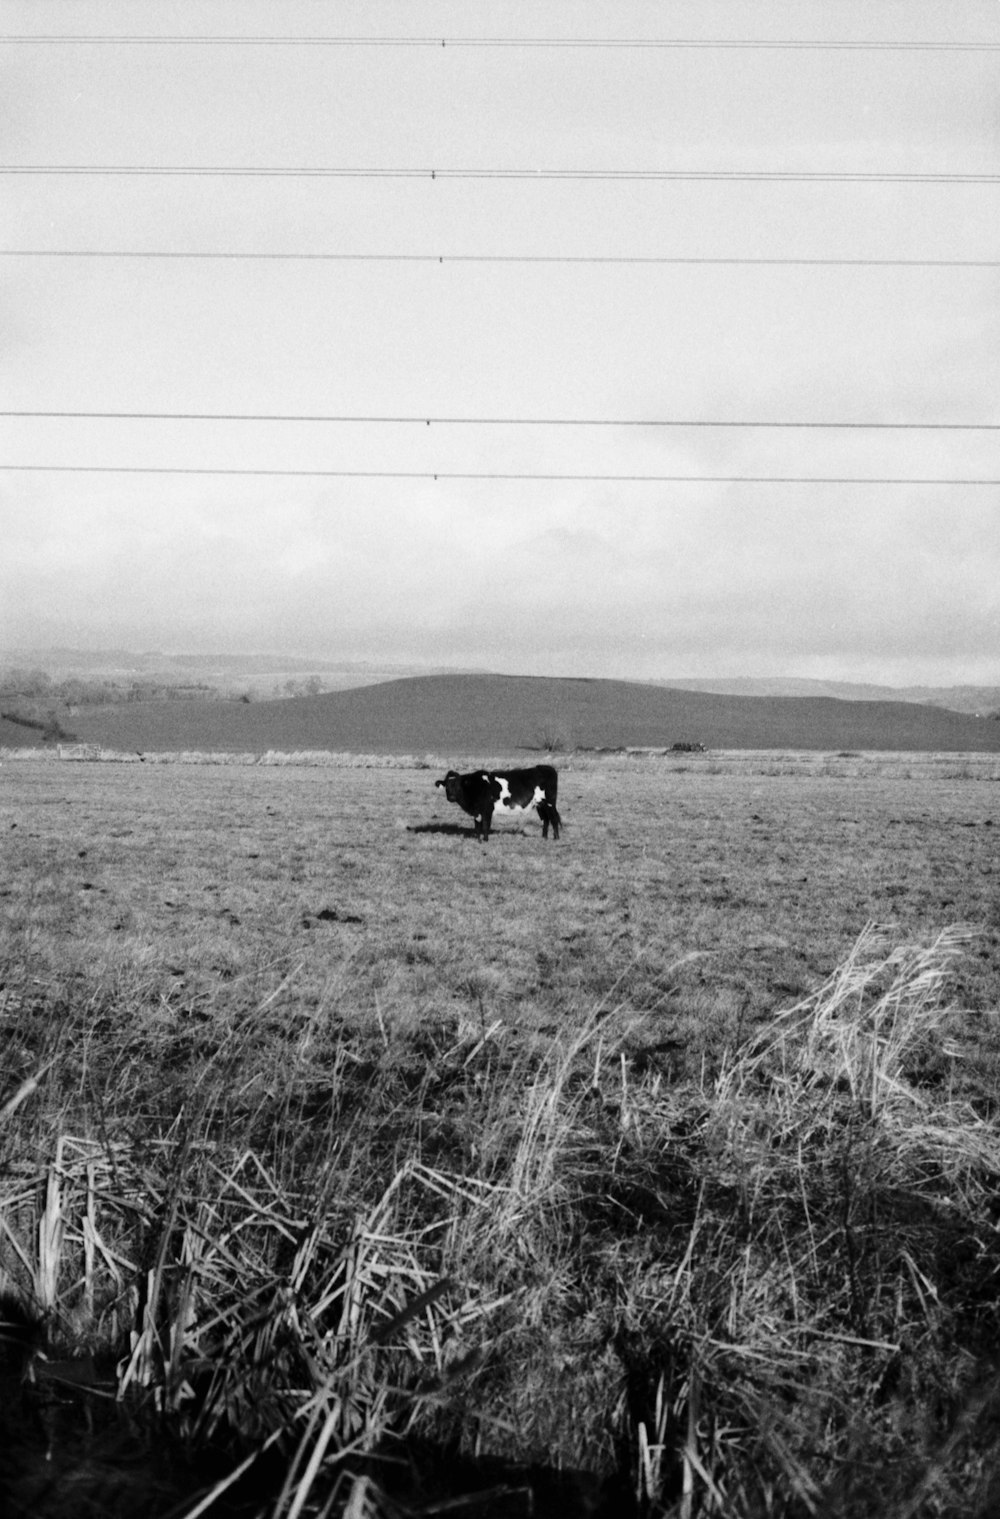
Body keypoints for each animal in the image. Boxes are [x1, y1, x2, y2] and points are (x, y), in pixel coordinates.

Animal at [431, 759, 559, 844]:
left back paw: (556, 838)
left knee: (553, 819)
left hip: (549, 803)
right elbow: (477, 826)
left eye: (458, 785)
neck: (476, 786)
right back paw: (544, 837)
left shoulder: (487, 809)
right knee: (546, 819)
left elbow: (485, 825)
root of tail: (544, 767)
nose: (451, 797)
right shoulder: (477, 812)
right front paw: (478, 840)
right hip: (540, 805)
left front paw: (485, 840)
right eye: (446, 786)